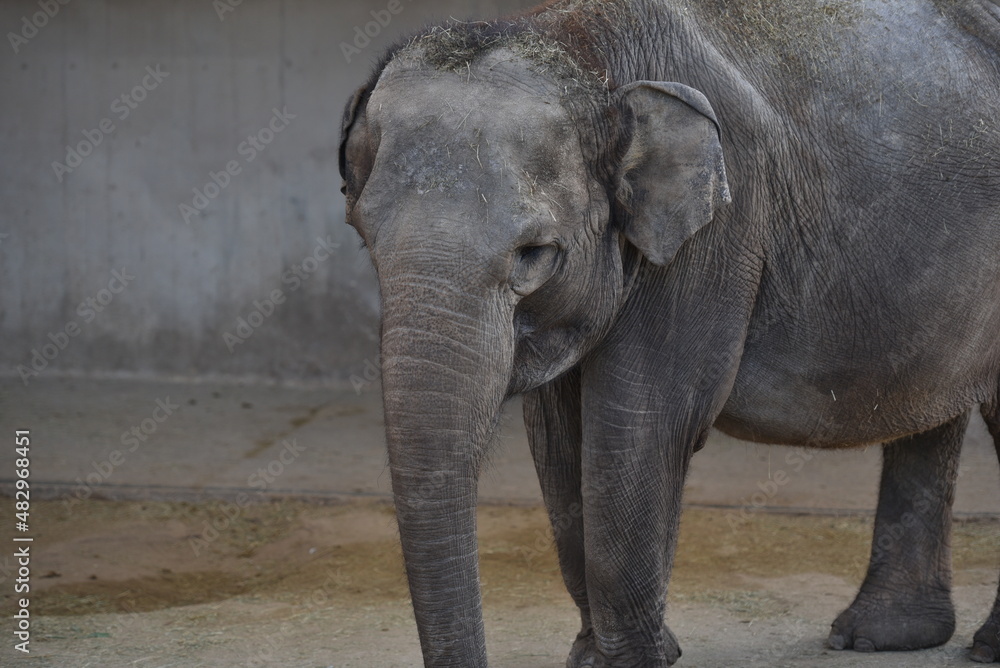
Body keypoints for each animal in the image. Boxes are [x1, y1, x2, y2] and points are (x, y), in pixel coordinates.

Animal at [339, 0, 1000, 665]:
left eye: (534, 254)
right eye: (364, 236)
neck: (582, 44)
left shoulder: (715, 235)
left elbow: (640, 428)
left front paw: (641, 658)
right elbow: (560, 440)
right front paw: (605, 657)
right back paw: (879, 637)